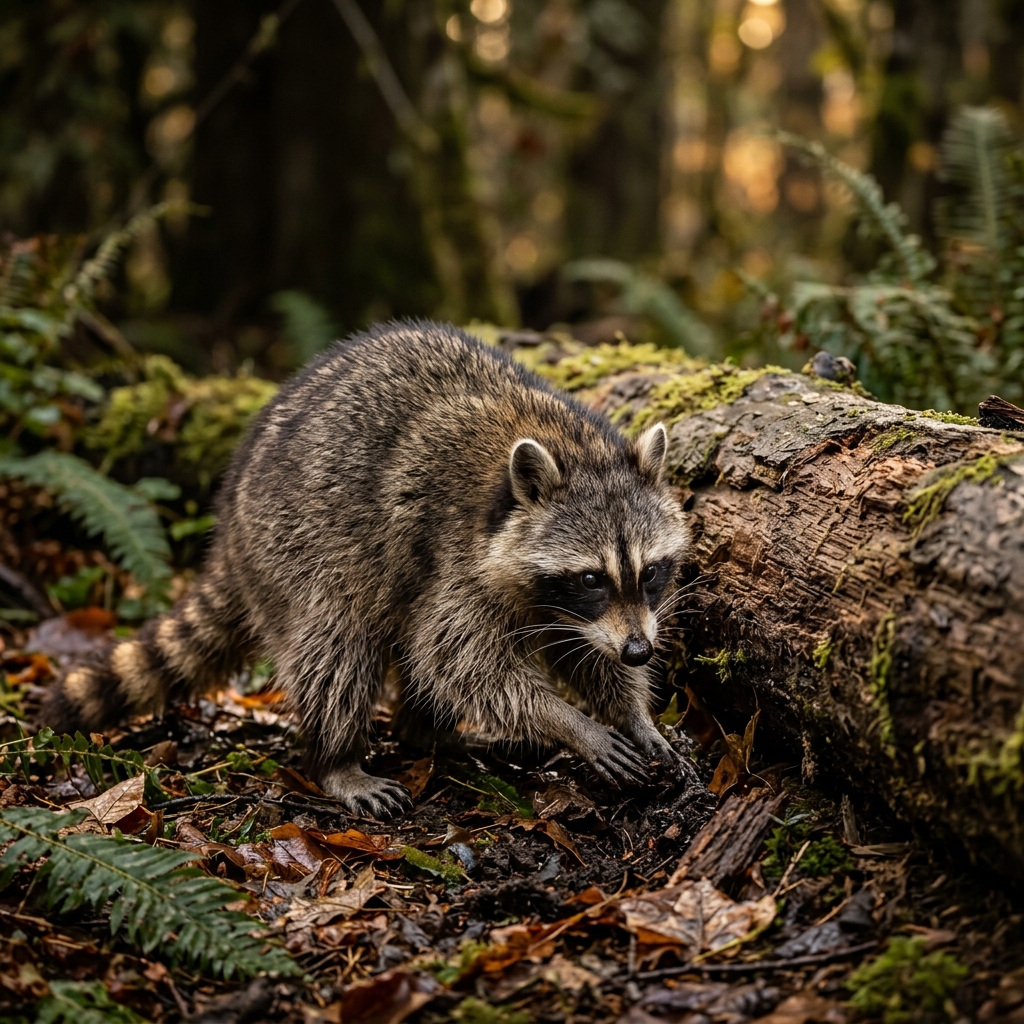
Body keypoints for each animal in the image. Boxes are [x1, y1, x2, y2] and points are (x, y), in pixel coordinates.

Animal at [43, 321, 691, 817]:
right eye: (591, 578)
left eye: (651, 573)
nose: (640, 652)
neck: (577, 447)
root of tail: (229, 521)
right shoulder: (457, 558)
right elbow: (461, 662)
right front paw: (569, 722)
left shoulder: (571, 606)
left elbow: (581, 653)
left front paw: (632, 713)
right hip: (294, 548)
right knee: (338, 646)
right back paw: (338, 760)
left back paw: (426, 731)